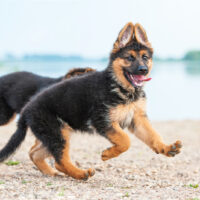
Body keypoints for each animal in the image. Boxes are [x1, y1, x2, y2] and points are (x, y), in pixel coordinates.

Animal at [0, 21, 181, 180]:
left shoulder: (137, 119)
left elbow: (152, 135)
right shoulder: (102, 120)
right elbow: (125, 140)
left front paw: (166, 148)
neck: (119, 86)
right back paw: (81, 174)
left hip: (56, 133)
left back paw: (52, 173)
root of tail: (26, 110)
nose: (143, 70)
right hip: (57, 133)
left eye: (145, 57)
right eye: (129, 58)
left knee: (36, 153)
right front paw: (108, 154)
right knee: (59, 160)